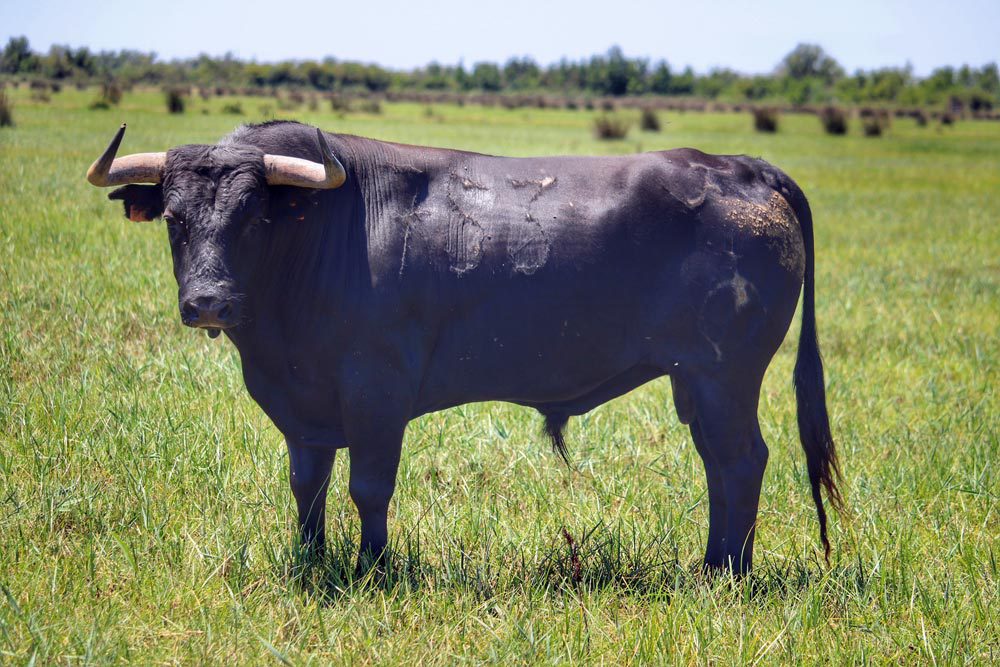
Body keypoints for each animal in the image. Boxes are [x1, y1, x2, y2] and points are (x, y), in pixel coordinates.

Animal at [86, 121, 840, 576]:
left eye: (254, 216)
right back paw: (712, 563)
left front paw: (373, 569)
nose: (208, 301)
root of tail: (741, 167)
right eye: (175, 218)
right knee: (719, 464)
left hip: (725, 377)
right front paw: (312, 561)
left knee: (741, 461)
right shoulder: (306, 405)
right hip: (697, 381)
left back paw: (728, 573)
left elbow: (368, 485)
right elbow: (308, 484)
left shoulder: (377, 393)